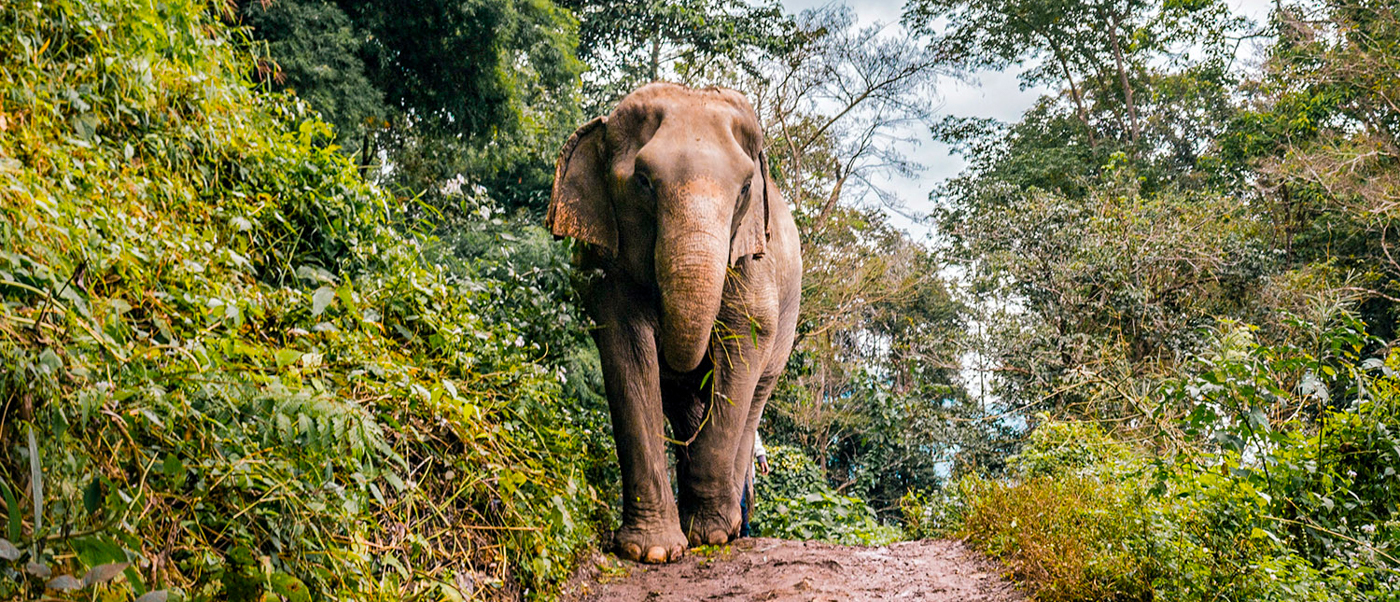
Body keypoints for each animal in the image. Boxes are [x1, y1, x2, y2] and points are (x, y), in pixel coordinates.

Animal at [547, 83, 802, 564]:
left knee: (754, 396)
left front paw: (711, 536)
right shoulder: (608, 268)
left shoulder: (751, 262)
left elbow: (743, 344)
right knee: (685, 407)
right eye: (643, 182)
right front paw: (652, 551)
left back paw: (729, 526)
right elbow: (627, 351)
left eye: (745, 188)